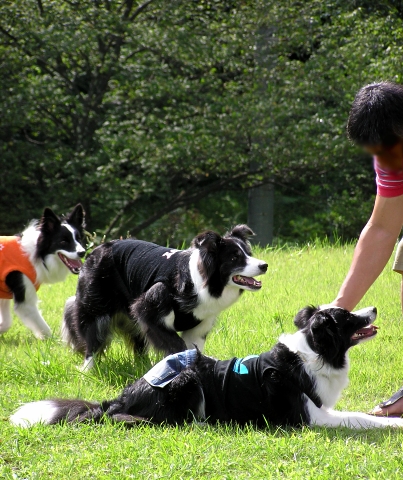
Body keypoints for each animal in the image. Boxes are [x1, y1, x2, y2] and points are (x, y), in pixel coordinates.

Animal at [0, 204, 85, 340]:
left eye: (79, 239)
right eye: (63, 241)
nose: (82, 252)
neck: (37, 254)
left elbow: (6, 322)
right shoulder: (26, 301)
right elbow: (44, 328)